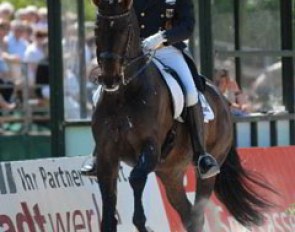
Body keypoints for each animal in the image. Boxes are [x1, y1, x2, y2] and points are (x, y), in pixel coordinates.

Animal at [91, 0, 276, 232]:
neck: (124, 94)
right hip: (170, 172)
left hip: (207, 167)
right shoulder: (106, 155)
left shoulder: (150, 149)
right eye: (97, 28)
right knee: (188, 214)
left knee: (197, 211)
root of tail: (223, 100)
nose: (109, 79)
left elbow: (136, 179)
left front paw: (142, 224)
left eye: (125, 30)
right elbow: (108, 211)